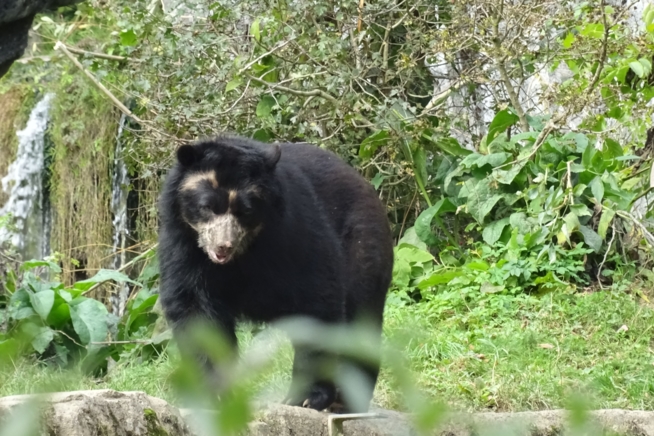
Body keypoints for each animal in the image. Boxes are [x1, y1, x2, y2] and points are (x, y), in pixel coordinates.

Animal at [159, 135, 394, 412]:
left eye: (246, 210)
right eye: (207, 206)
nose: (223, 246)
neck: (244, 253)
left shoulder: (293, 233)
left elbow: (317, 298)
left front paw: (307, 397)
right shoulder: (183, 245)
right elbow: (196, 312)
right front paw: (215, 394)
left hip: (362, 248)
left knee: (360, 323)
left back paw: (346, 401)